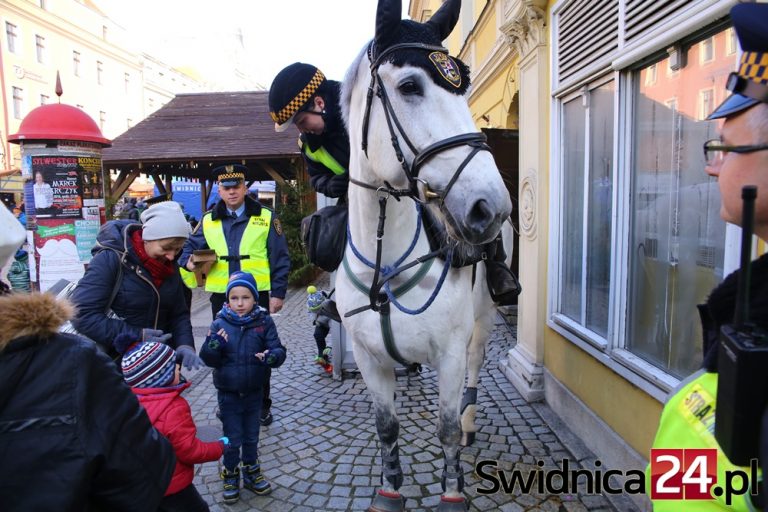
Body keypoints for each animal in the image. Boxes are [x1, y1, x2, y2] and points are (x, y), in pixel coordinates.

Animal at [336, 2, 510, 510]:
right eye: (410, 85)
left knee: (475, 371)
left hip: (483, 318)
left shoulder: (449, 355)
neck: (387, 267)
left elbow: (446, 430)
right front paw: (390, 489)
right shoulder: (370, 360)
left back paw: (471, 424)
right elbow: (386, 428)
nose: (492, 206)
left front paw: (453, 492)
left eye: (464, 89)